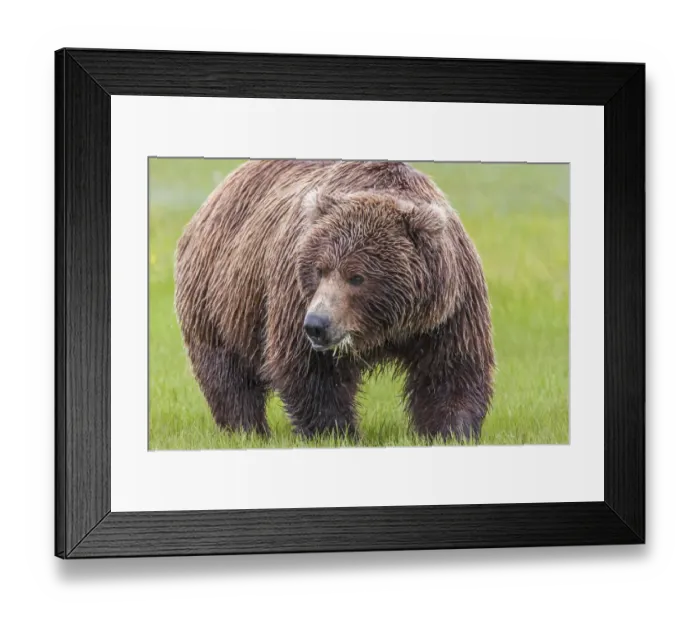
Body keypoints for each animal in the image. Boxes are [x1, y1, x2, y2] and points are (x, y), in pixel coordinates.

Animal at [174, 160, 495, 441]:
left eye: (357, 277)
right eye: (320, 269)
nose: (317, 324)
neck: (385, 328)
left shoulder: (449, 308)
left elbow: (451, 370)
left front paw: (451, 431)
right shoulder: (294, 298)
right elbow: (312, 372)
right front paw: (336, 433)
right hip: (220, 298)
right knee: (228, 375)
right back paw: (247, 430)